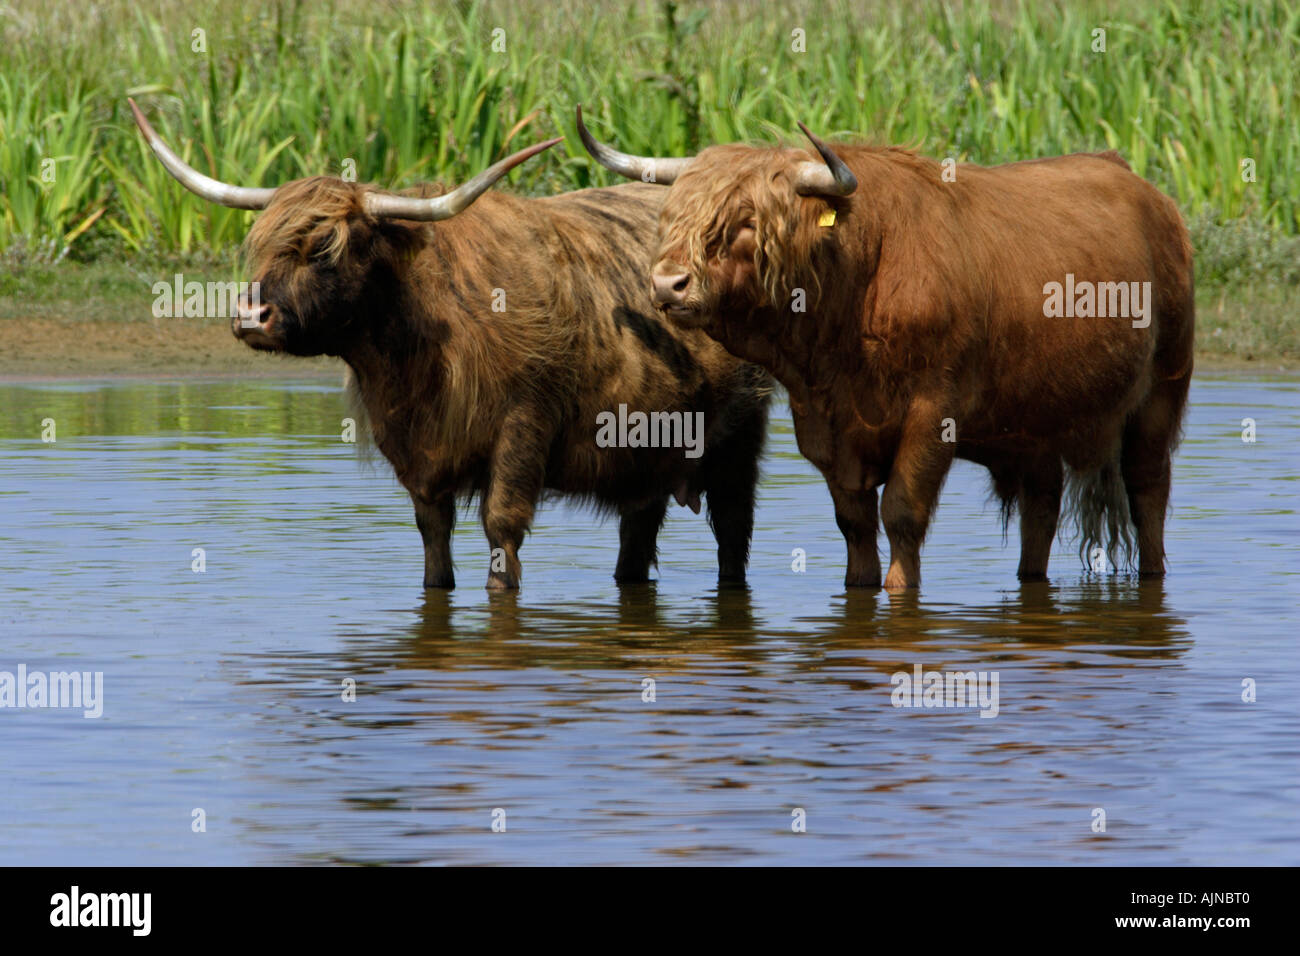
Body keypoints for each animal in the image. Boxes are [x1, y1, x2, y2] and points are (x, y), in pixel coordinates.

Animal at [129, 100, 769, 587]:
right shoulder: (417, 459)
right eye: (260, 244)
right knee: (637, 541)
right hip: (647, 457)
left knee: (733, 533)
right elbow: (433, 549)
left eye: (326, 250)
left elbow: (501, 530)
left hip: (738, 441)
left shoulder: (524, 425)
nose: (250, 316)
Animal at [585, 110, 1190, 590]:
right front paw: (859, 586)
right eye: (671, 217)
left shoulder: (933, 411)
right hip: (1034, 421)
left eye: (747, 222)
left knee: (1148, 492)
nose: (668, 284)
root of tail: (1142, 186)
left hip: (1162, 390)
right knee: (1041, 507)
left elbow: (902, 512)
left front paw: (900, 592)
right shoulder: (824, 427)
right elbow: (854, 523)